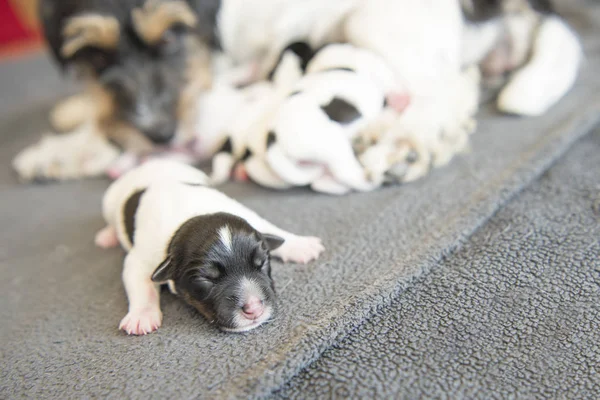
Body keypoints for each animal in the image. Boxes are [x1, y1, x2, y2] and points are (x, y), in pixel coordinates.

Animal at [96, 159, 326, 334]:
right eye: (206, 279)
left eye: (261, 264)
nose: (254, 308)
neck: (194, 214)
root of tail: (150, 162)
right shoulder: (141, 258)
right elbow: (141, 284)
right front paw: (141, 315)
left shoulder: (247, 215)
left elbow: (270, 228)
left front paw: (300, 244)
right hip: (109, 201)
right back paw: (107, 236)